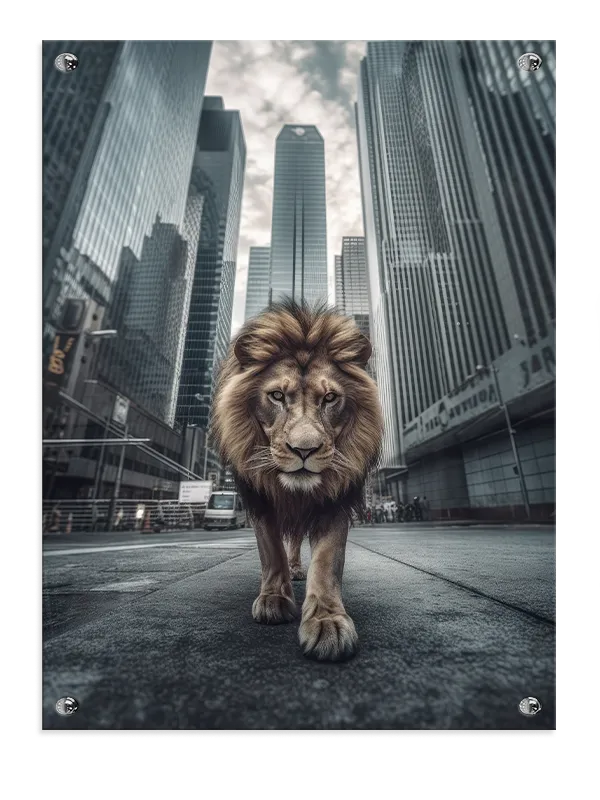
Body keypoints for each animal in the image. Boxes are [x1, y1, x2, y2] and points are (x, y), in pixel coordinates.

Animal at [211, 299, 383, 661]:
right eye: (277, 396)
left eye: (330, 398)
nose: (304, 450)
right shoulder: (259, 497)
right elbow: (271, 550)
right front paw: (274, 600)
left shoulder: (336, 498)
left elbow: (327, 560)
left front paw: (327, 622)